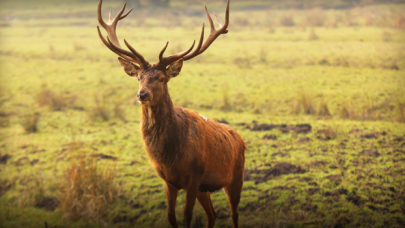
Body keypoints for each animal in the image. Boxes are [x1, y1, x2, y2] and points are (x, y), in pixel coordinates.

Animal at [96, 0, 245, 227]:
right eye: (139, 77)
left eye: (161, 78)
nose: (142, 94)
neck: (170, 156)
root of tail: (240, 138)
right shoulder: (169, 180)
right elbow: (170, 215)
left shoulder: (195, 175)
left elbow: (187, 215)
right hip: (205, 188)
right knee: (212, 214)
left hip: (236, 175)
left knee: (234, 214)